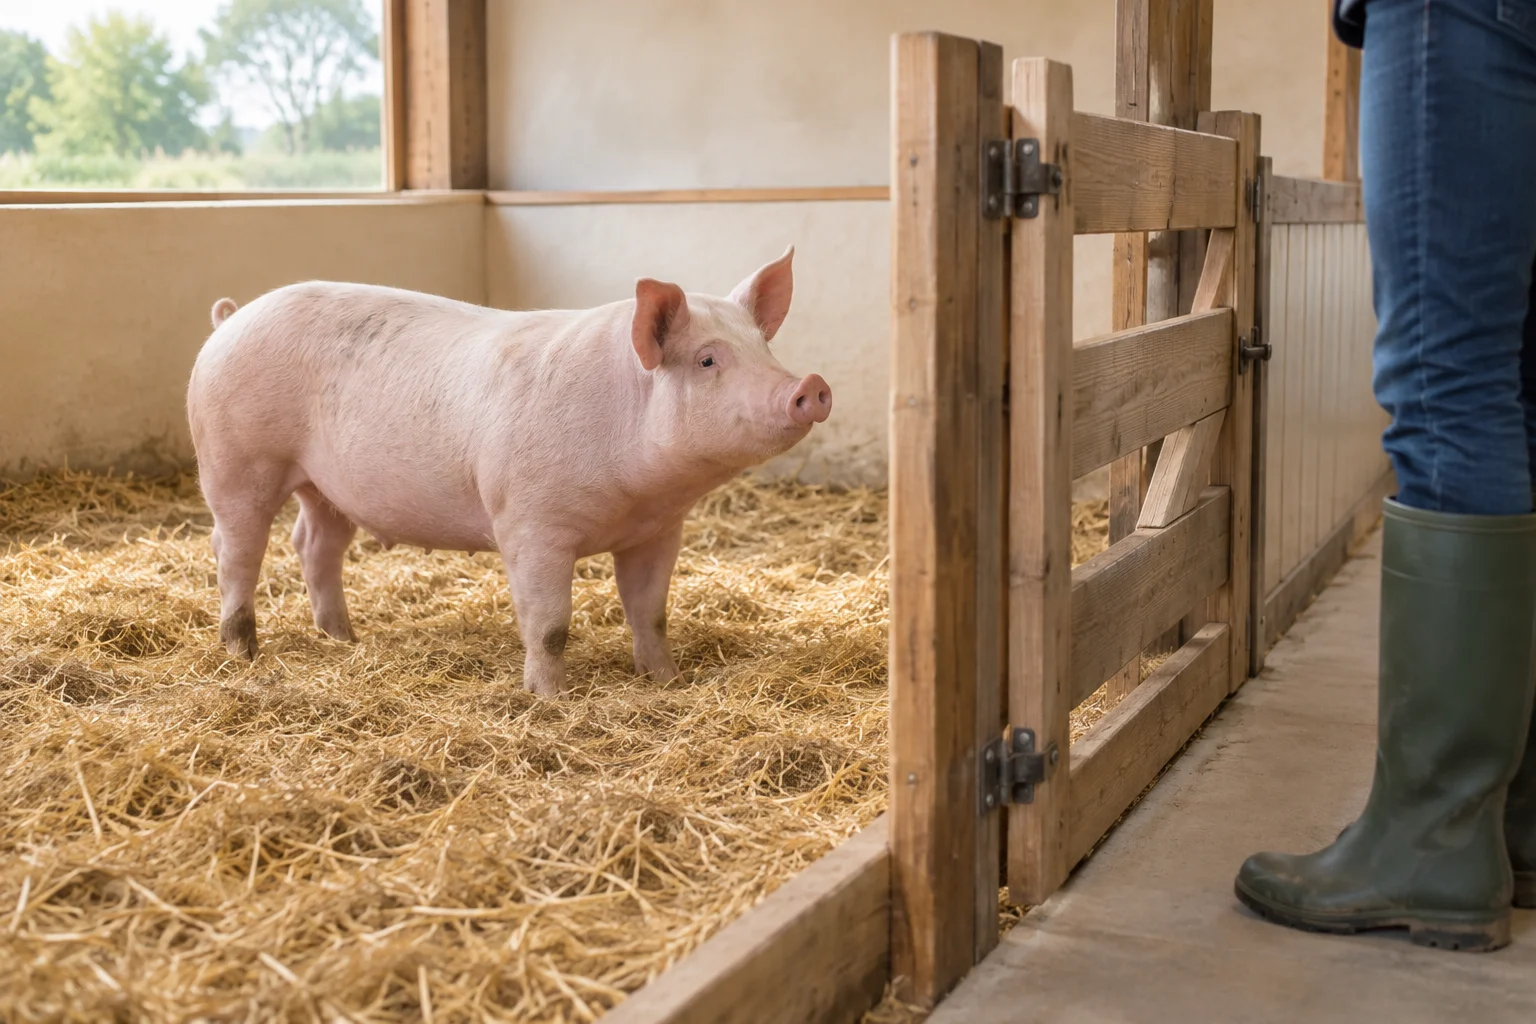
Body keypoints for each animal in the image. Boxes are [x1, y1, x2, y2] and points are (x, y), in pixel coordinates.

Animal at [185, 248, 830, 696]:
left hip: (327, 487)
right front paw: (551, 699)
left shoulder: (657, 531)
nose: (811, 384)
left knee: (314, 543)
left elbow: (651, 612)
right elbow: (549, 625)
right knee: (234, 549)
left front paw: (666, 681)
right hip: (235, 461)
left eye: (765, 350)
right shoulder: (530, 523)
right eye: (707, 360)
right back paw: (242, 653)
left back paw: (344, 638)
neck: (636, 492)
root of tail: (228, 320)